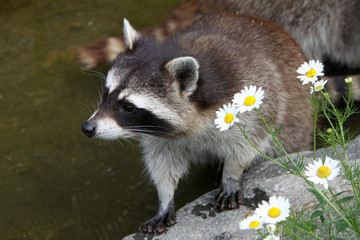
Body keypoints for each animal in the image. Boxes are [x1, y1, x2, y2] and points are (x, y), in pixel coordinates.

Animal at [81, 13, 312, 234]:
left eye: (128, 107)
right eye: (106, 92)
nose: (87, 128)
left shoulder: (251, 99)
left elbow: (248, 142)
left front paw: (231, 174)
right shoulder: (160, 135)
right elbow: (163, 162)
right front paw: (165, 197)